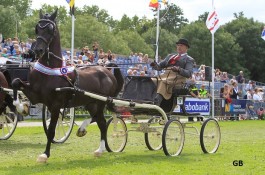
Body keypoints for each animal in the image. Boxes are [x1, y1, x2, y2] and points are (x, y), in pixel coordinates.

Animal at [11, 8, 124, 163]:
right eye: (37, 28)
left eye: (50, 29)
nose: (38, 50)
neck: (52, 69)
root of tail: (107, 70)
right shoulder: (36, 95)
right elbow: (15, 82)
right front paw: (22, 107)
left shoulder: (56, 105)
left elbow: (51, 130)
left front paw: (45, 154)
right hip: (90, 103)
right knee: (98, 120)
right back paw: (88, 136)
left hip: (101, 102)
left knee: (101, 121)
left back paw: (98, 147)